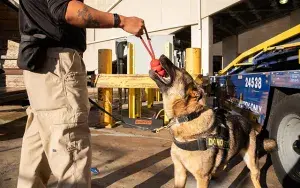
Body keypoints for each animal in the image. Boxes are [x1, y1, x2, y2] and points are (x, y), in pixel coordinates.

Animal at [149, 54, 276, 188]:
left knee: (254, 176)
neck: (188, 117)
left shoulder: (202, 178)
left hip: (252, 163)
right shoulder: (180, 173)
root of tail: (250, 123)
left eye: (180, 70)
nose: (162, 56)